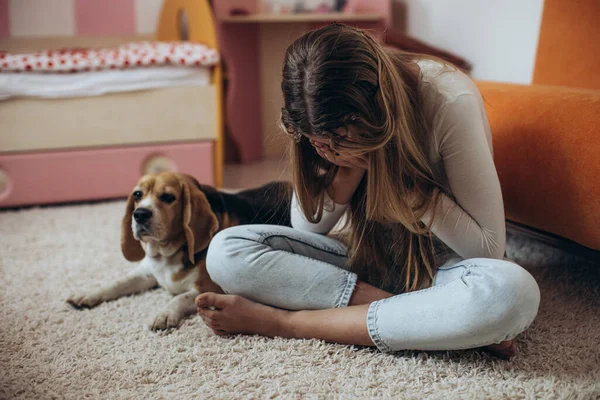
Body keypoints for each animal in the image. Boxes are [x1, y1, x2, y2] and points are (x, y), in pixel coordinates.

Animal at [67, 172, 292, 332]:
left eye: (168, 197)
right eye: (138, 194)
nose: (140, 214)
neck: (166, 255)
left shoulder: (209, 289)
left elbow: (179, 297)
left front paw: (165, 314)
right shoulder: (146, 273)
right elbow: (117, 283)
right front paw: (89, 294)